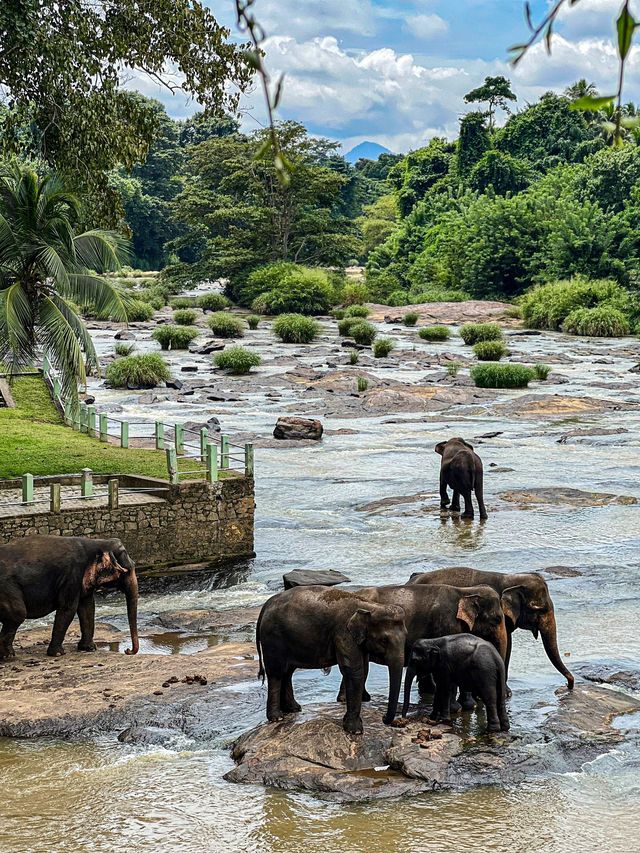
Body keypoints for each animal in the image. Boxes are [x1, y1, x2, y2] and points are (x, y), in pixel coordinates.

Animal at [0, 532, 139, 660]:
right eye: (126, 570)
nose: (127, 650)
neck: (96, 542)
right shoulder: (72, 576)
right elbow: (68, 608)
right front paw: (57, 654)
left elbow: (88, 607)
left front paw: (88, 648)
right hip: (6, 588)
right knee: (18, 614)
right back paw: (8, 656)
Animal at [255, 584, 404, 732]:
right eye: (384, 640)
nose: (384, 718)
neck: (370, 606)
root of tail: (266, 605)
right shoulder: (343, 633)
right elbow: (354, 671)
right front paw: (355, 731)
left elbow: (364, 668)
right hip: (272, 639)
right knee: (276, 673)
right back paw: (277, 718)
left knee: (287, 672)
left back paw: (293, 709)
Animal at [338, 584, 508, 716]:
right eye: (497, 619)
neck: (465, 591)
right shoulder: (446, 624)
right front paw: (457, 709)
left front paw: (468, 706)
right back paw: (348, 699)